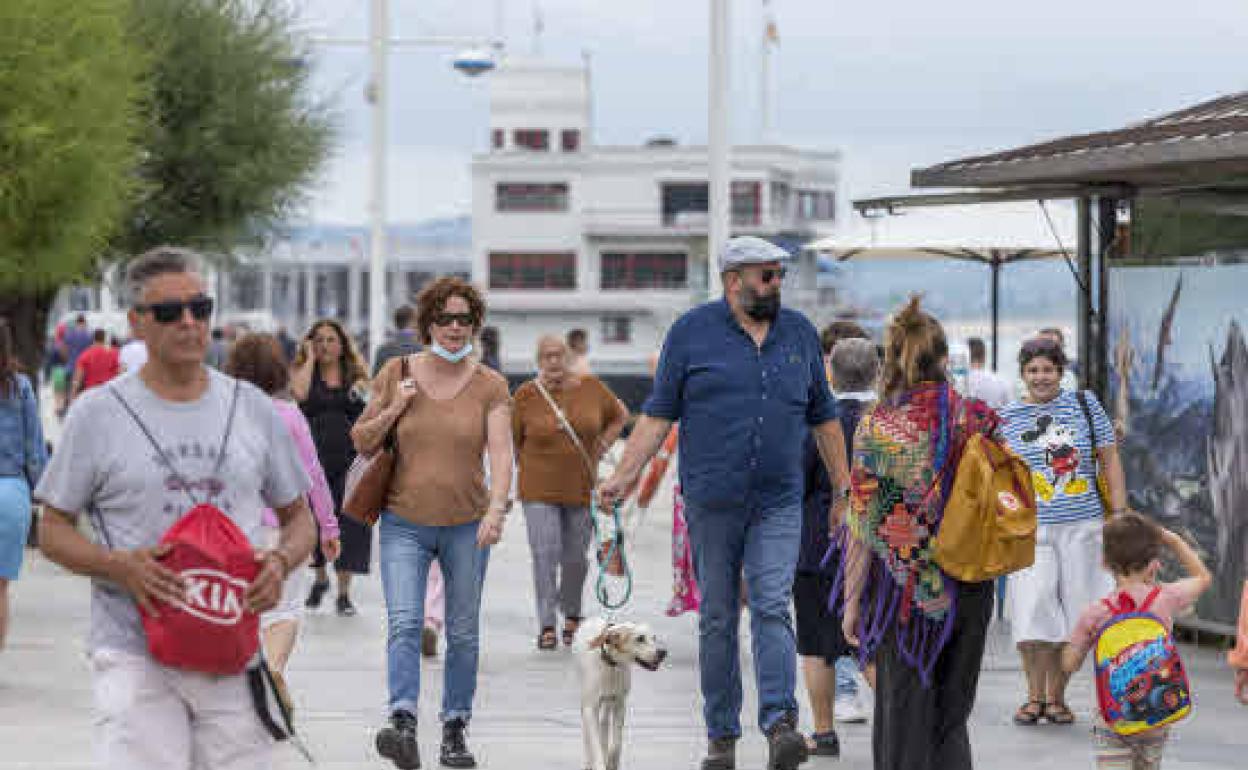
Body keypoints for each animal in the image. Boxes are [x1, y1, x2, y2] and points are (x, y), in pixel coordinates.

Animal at [574, 616, 668, 770]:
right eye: (640, 638)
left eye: (654, 637)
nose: (662, 652)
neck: (611, 665)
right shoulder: (590, 707)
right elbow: (594, 742)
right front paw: (599, 763)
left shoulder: (619, 703)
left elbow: (617, 742)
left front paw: (612, 761)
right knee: (589, 733)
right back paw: (589, 760)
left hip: (608, 700)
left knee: (604, 723)